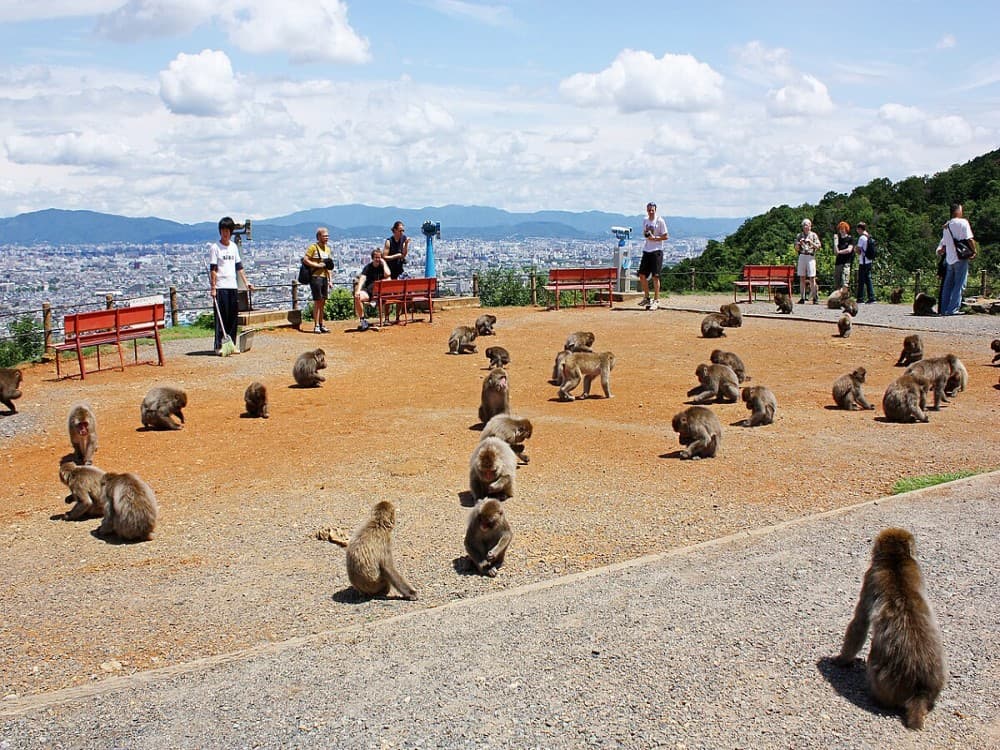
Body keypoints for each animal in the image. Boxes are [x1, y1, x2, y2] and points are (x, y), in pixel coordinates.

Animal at [834, 528, 946, 730]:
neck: (895, 560)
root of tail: (919, 690)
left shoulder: (869, 576)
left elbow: (860, 623)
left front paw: (842, 659)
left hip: (883, 683)